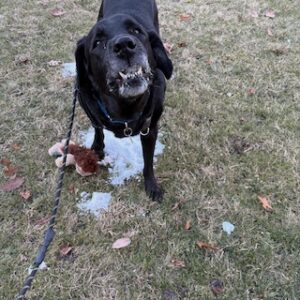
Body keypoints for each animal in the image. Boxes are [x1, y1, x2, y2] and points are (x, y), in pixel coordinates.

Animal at [75, 1, 173, 202]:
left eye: (136, 31)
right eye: (97, 42)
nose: (124, 45)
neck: (125, 107)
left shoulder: (150, 128)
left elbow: (148, 161)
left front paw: (152, 186)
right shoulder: (85, 103)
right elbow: (97, 126)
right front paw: (97, 147)